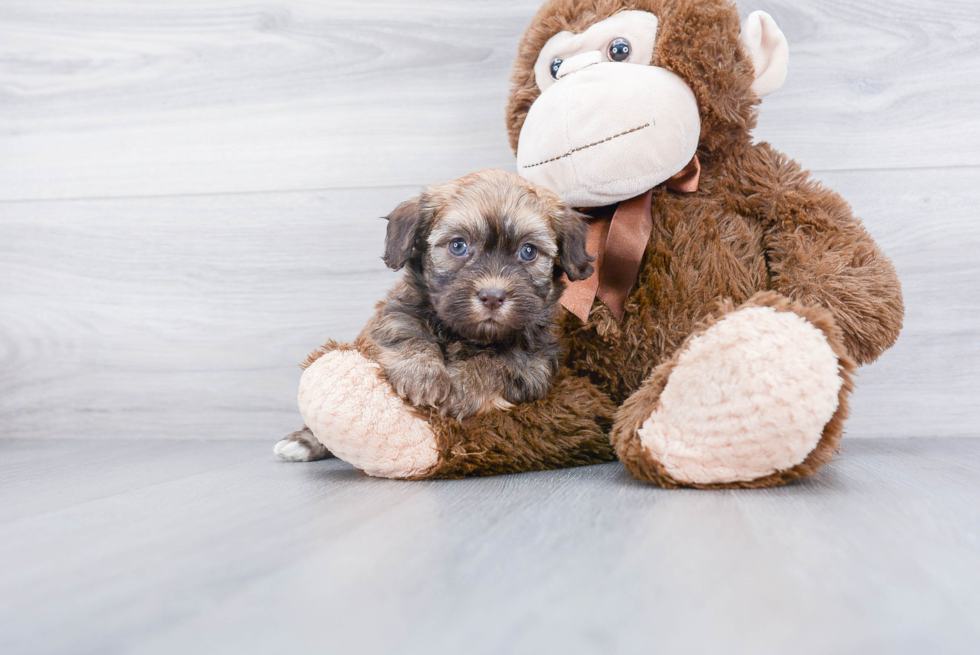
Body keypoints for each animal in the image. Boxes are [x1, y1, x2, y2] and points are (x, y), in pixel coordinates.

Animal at [370, 167, 592, 418]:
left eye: (528, 251)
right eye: (458, 246)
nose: (493, 297)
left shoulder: (535, 364)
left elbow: (499, 363)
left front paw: (463, 387)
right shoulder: (400, 312)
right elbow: (406, 331)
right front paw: (421, 372)